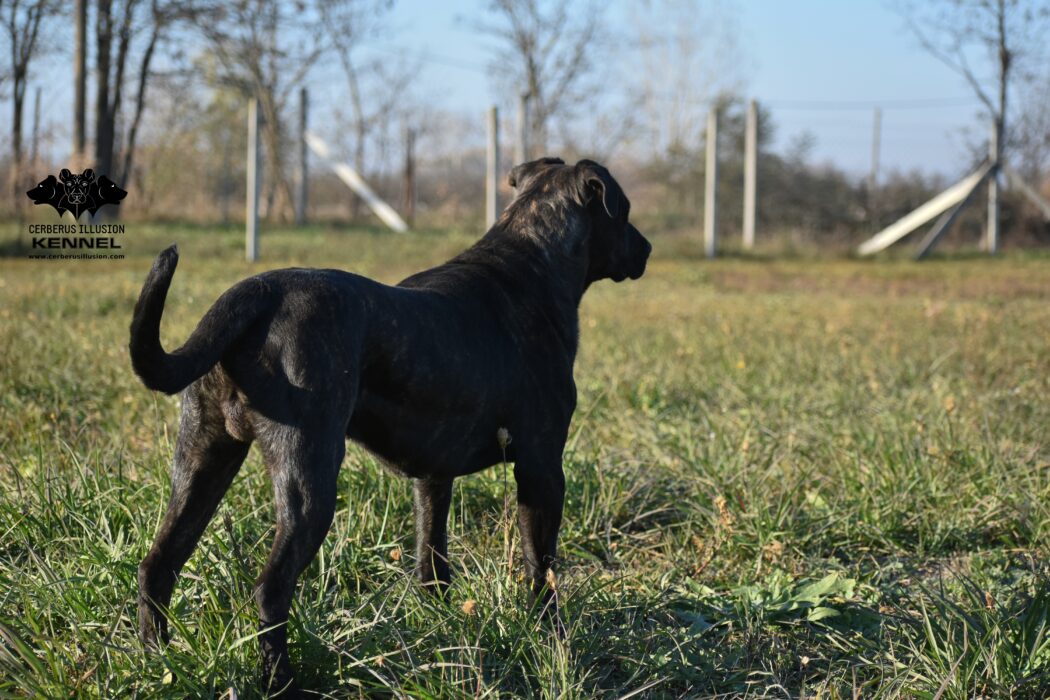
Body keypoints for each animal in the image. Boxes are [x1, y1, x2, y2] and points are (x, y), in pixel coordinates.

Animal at [129, 157, 646, 688]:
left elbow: (431, 557)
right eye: (624, 211)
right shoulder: (542, 469)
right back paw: (281, 681)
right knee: (270, 589)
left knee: (157, 566)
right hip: (308, 481)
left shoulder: (434, 475)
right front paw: (553, 641)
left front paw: (443, 625)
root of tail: (257, 291)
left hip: (202, 461)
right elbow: (541, 570)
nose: (645, 248)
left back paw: (158, 661)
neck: (529, 263)